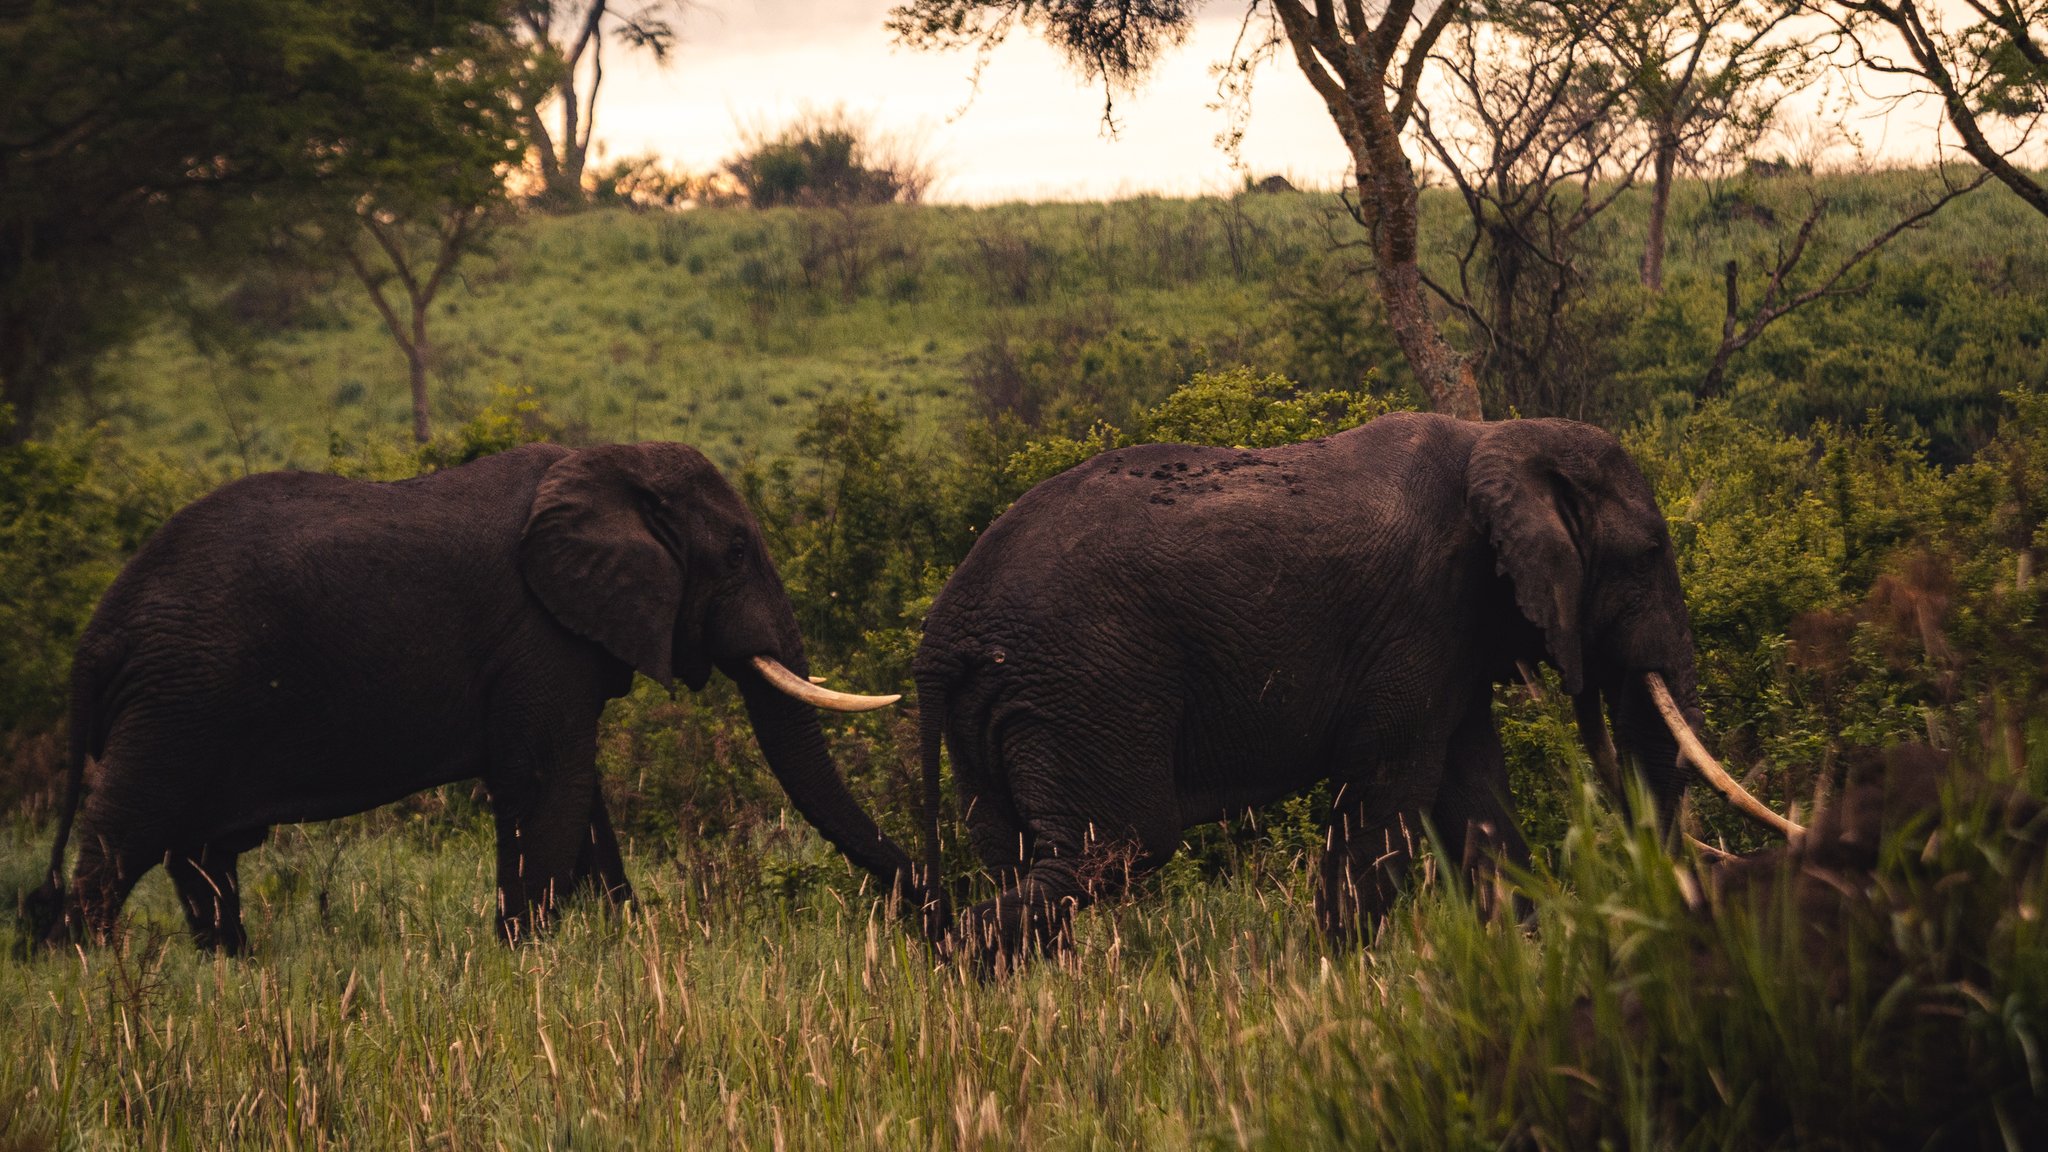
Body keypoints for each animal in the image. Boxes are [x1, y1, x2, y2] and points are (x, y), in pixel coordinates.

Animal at [27, 440, 935, 952]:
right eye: (739, 553)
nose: (930, 904)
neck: (608, 465)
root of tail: (94, 637)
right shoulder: (538, 630)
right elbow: (547, 781)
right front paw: (524, 957)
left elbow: (576, 795)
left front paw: (620, 943)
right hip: (178, 698)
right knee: (126, 834)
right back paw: (92, 966)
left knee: (198, 854)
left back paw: (230, 964)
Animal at [913, 412, 1797, 968]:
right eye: (1650, 553)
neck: (1500, 438)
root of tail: (943, 632)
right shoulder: (1418, 617)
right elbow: (1392, 797)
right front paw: (1342, 981)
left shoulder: (1452, 640)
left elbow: (1475, 804)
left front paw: (1531, 958)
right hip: (1085, 687)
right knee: (1117, 847)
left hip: (1009, 709)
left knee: (1020, 856)